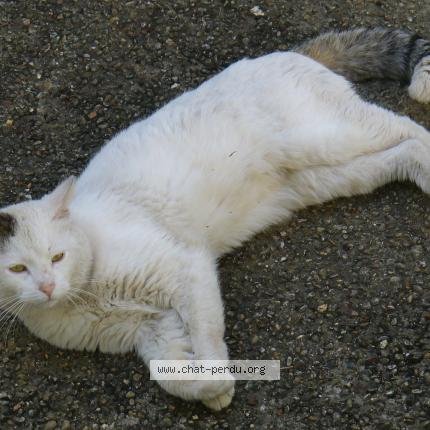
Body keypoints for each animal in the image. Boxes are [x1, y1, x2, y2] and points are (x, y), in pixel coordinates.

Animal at [0, 28, 430, 412]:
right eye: (18, 269)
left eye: (57, 256)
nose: (48, 286)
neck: (85, 290)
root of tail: (288, 52)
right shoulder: (152, 330)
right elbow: (172, 376)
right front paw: (209, 390)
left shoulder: (186, 270)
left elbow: (206, 337)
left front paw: (219, 379)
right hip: (331, 176)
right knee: (398, 152)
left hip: (329, 137)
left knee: (407, 127)